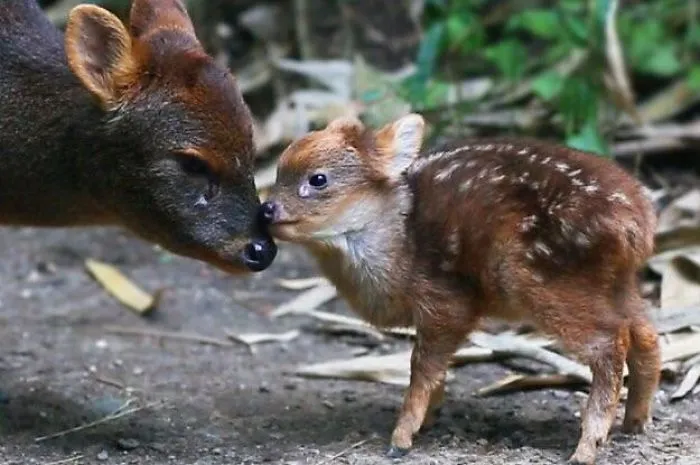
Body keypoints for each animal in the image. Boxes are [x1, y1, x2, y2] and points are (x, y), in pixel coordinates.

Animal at [259, 113, 661, 464]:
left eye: (318, 179)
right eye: (277, 172)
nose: (267, 209)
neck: (401, 244)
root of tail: (637, 226)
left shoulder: (446, 302)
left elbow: (421, 366)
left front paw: (401, 439)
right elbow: (434, 369)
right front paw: (429, 419)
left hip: (545, 283)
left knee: (610, 343)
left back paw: (586, 447)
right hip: (615, 284)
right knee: (645, 333)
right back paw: (635, 422)